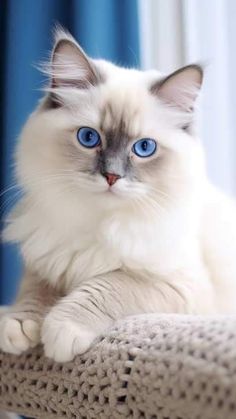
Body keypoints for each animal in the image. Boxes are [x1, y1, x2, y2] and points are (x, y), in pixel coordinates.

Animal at [0, 30, 236, 364]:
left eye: (144, 148)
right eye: (88, 138)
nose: (111, 176)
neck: (99, 224)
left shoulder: (178, 286)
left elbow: (108, 284)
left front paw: (61, 329)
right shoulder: (45, 260)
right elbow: (33, 291)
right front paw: (19, 324)